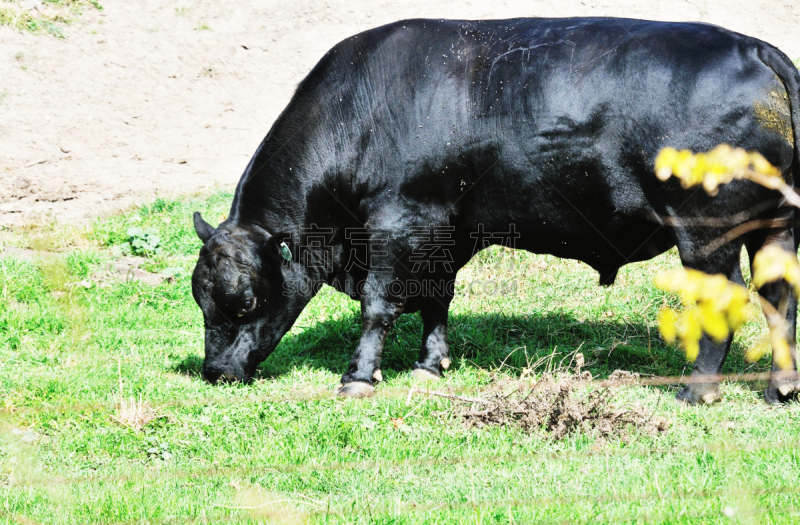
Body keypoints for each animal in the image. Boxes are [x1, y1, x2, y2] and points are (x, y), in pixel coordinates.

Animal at [189, 16, 800, 402]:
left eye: (244, 301)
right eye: (201, 299)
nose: (214, 372)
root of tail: (756, 48)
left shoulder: (396, 223)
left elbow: (378, 305)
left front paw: (359, 377)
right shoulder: (444, 233)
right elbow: (435, 299)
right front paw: (430, 366)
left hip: (705, 232)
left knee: (728, 299)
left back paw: (696, 391)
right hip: (775, 227)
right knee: (778, 296)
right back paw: (781, 387)